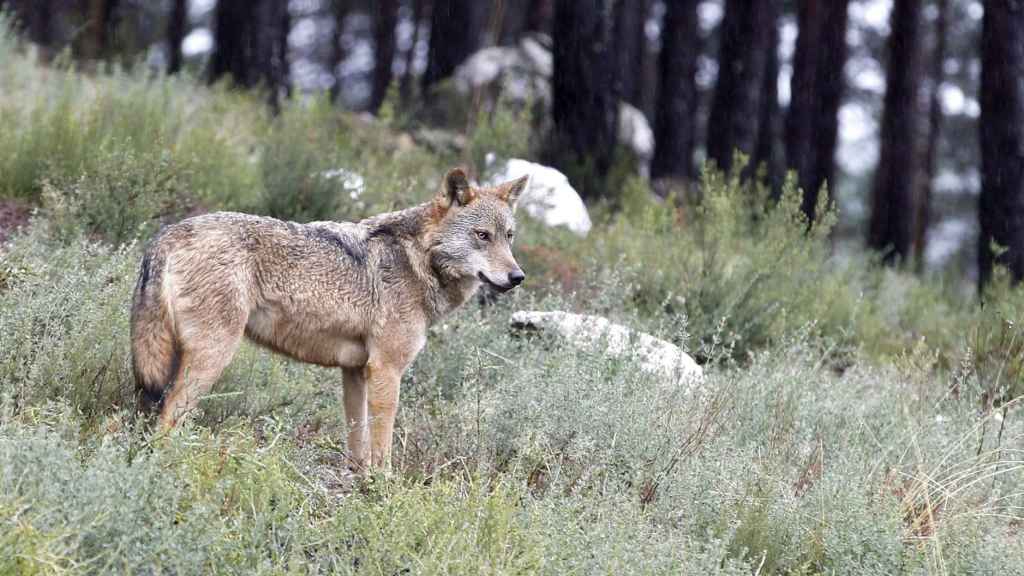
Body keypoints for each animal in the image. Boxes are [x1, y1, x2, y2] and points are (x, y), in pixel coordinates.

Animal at [130, 166, 528, 467]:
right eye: (482, 236)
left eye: (508, 237)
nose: (517, 277)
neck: (417, 261)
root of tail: (168, 233)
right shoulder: (386, 370)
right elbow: (382, 445)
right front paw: (384, 490)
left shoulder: (355, 371)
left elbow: (358, 441)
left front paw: (360, 481)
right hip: (212, 358)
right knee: (168, 417)